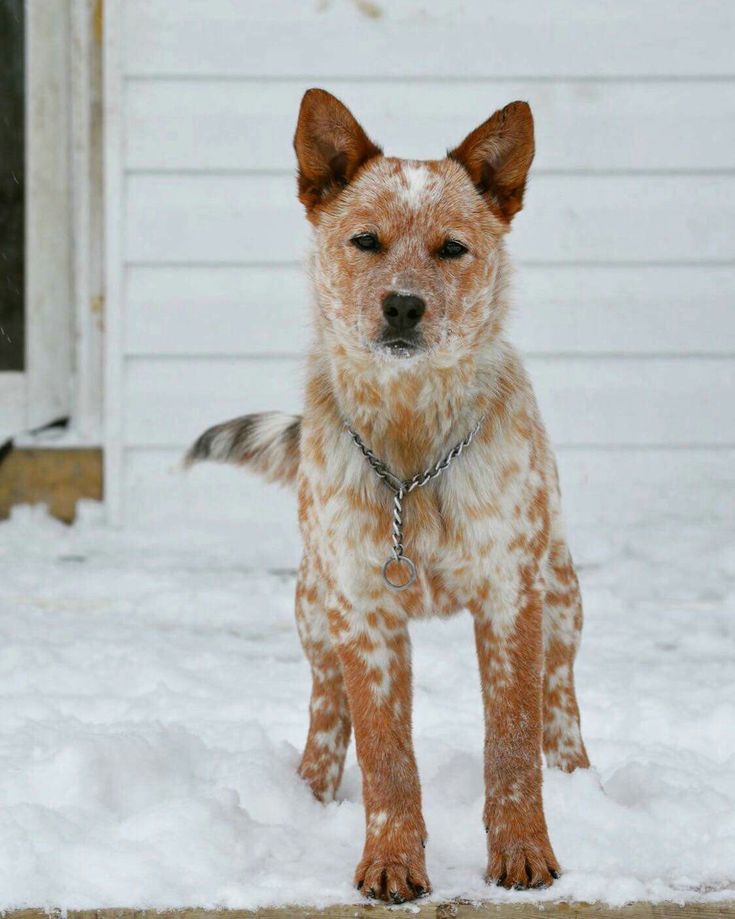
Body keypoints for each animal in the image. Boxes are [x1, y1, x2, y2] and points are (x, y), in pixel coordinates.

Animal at [187, 88, 588, 904]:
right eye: (365, 240)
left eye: (452, 248)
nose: (403, 305)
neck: (412, 453)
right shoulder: (364, 614)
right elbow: (385, 754)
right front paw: (391, 859)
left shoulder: (511, 597)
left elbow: (511, 744)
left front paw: (525, 852)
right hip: (315, 614)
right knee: (326, 711)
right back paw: (307, 793)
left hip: (560, 596)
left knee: (558, 702)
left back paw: (576, 777)